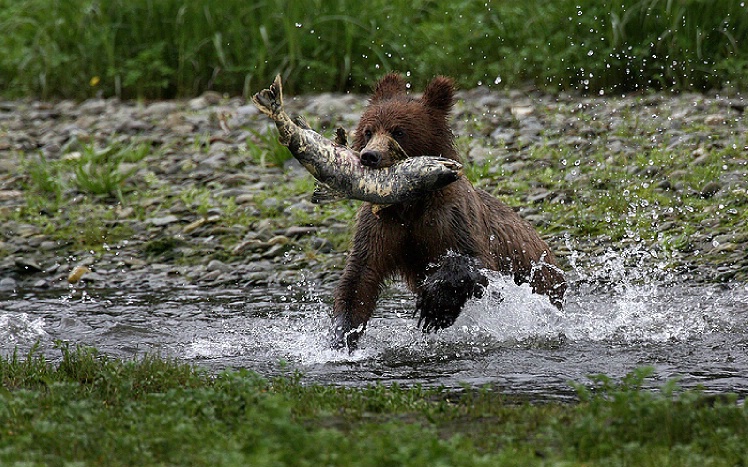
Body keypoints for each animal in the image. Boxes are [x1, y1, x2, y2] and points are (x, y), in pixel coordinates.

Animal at [330, 73, 564, 352]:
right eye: (368, 130)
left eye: (399, 131)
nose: (370, 156)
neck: (410, 202)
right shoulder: (382, 224)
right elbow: (360, 276)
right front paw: (342, 335)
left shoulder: (452, 217)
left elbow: (477, 262)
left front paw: (435, 306)